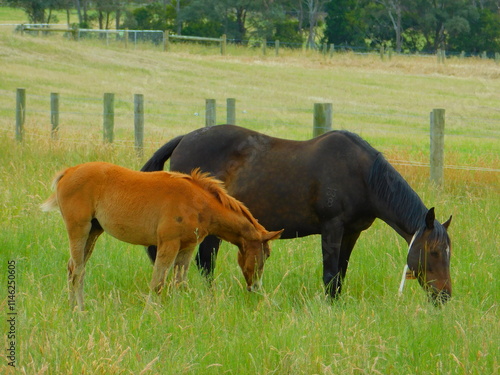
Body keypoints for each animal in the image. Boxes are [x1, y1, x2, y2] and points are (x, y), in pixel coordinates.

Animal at [141, 125, 454, 304]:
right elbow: (330, 274)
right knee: (202, 261)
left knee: (205, 261)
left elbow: (341, 274)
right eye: (434, 252)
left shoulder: (352, 232)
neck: (363, 176)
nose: (444, 296)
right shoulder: (332, 227)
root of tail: (185, 139)